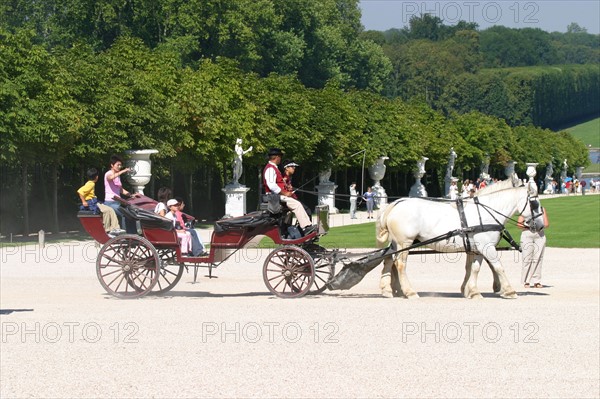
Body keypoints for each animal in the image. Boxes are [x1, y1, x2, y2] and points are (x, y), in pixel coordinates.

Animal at [378, 177, 536, 298]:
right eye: (535, 203)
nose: (539, 225)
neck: (485, 212)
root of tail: (395, 203)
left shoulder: (475, 248)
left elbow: (472, 268)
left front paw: (470, 291)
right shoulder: (486, 246)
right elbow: (497, 266)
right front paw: (508, 290)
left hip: (397, 243)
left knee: (389, 260)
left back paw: (391, 290)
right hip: (405, 242)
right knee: (400, 264)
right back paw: (409, 292)